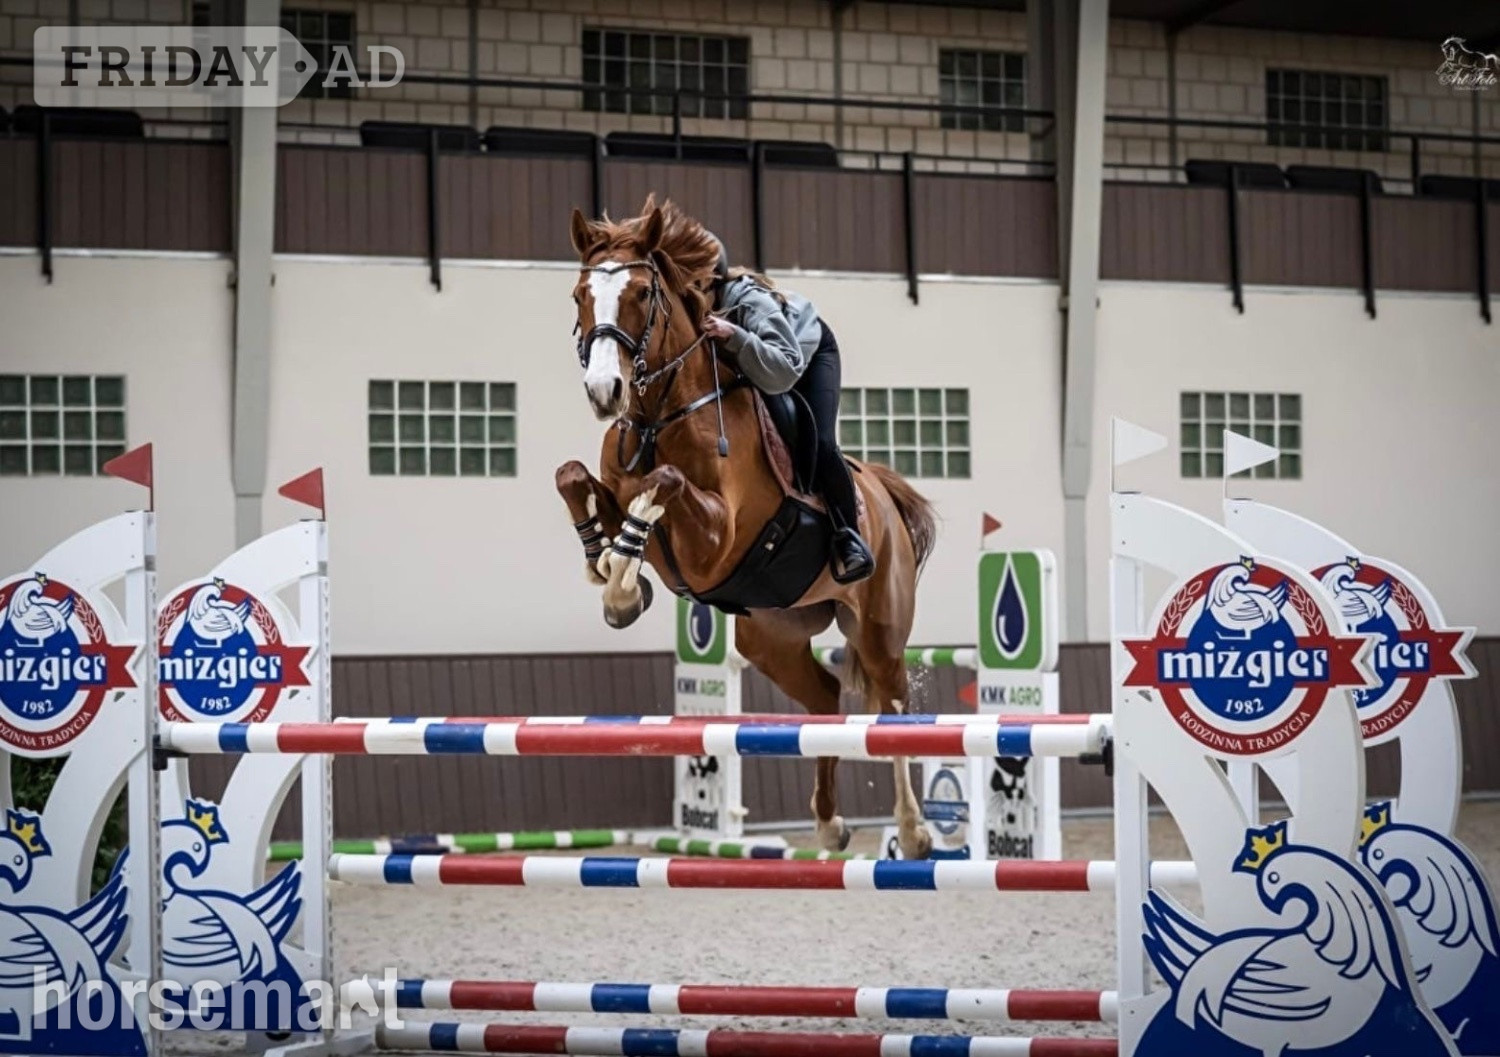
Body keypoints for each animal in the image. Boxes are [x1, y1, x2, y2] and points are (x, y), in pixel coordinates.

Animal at [554, 197, 939, 859]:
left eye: (639, 293)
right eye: (582, 293)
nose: (605, 392)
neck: (660, 417)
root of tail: (883, 497)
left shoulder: (716, 542)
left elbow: (665, 485)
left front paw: (622, 585)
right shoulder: (621, 491)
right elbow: (573, 475)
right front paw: (605, 565)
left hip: (879, 629)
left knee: (891, 708)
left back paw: (913, 832)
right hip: (771, 635)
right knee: (824, 698)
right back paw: (829, 822)